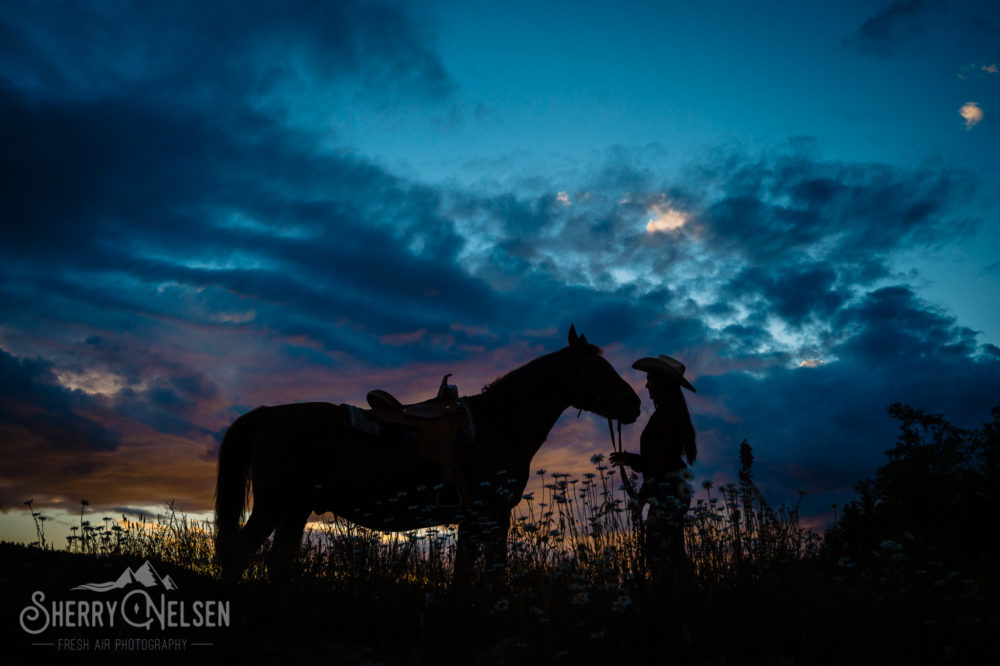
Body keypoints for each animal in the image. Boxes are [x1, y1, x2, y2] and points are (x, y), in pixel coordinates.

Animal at [214, 325, 641, 582]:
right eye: (595, 368)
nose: (634, 404)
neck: (499, 423)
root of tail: (271, 413)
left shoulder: (475, 519)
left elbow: (464, 574)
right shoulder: (492, 513)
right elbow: (490, 572)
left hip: (295, 509)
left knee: (278, 563)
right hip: (273, 505)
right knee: (238, 556)